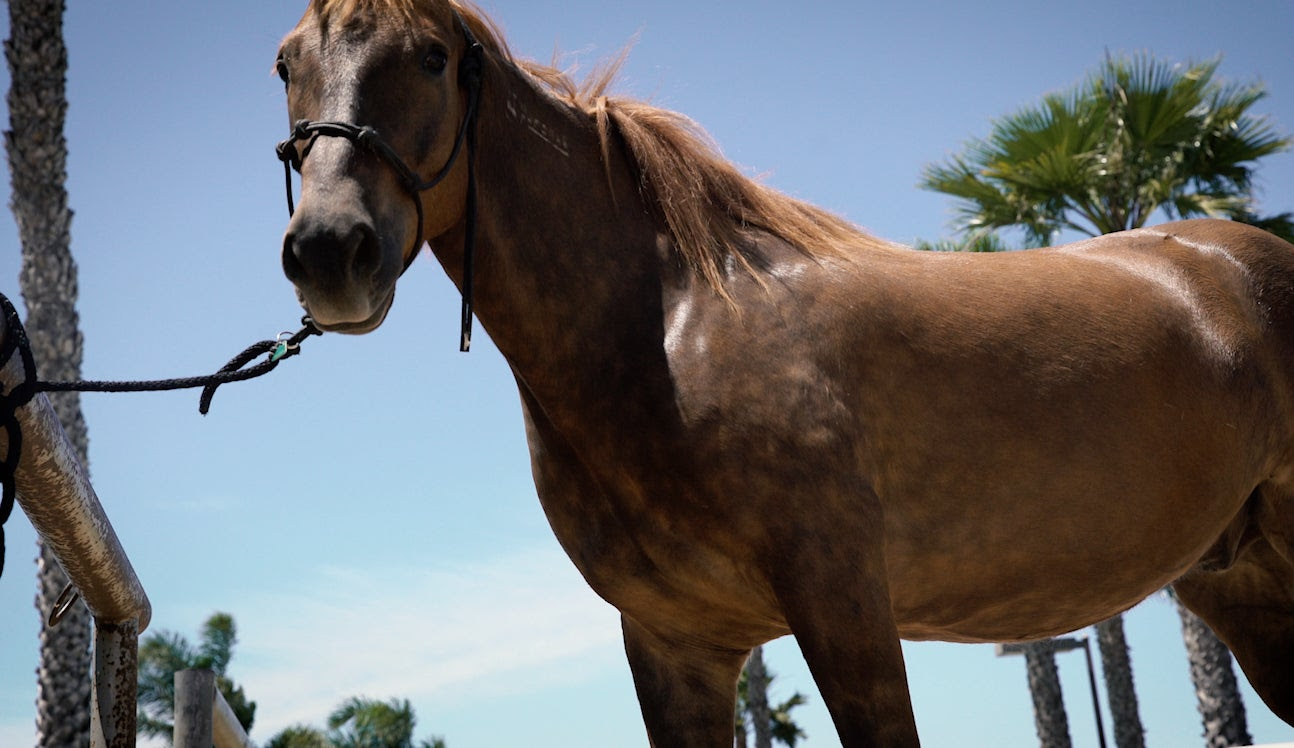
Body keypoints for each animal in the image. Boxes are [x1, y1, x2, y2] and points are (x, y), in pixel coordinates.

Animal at [270, 2, 1294, 740]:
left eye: (430, 57)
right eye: (285, 64)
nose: (329, 252)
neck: (675, 326)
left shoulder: (846, 608)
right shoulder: (676, 647)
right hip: (1243, 589)